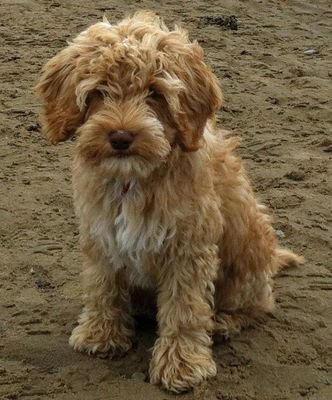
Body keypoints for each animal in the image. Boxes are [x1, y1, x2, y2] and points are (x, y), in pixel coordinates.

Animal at [36, 10, 304, 392]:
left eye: (155, 93)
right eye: (99, 91)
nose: (121, 136)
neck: (133, 179)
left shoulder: (187, 247)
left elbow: (184, 309)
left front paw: (181, 365)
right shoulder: (100, 235)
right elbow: (103, 286)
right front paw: (100, 334)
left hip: (247, 261)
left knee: (258, 305)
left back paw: (222, 323)